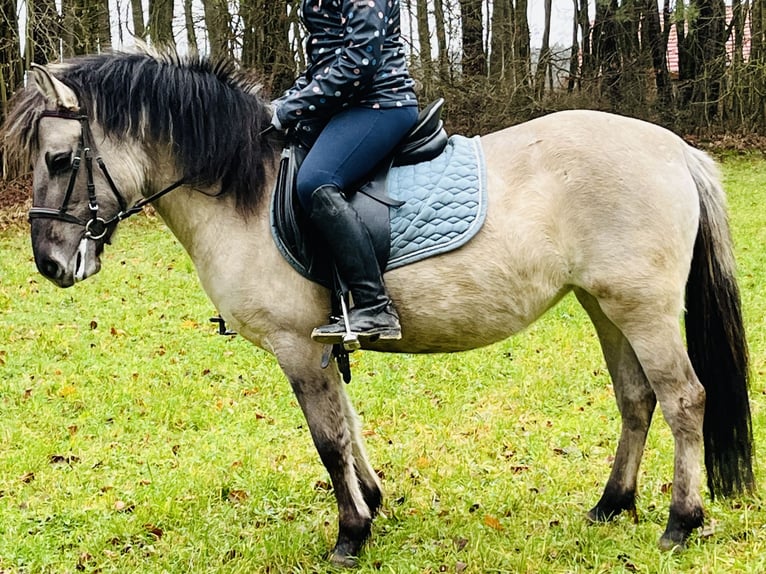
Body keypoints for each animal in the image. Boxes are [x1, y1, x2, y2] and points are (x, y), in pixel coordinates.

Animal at [0, 51, 756, 568]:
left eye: (61, 160)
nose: (50, 264)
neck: (247, 192)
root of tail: (674, 148)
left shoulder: (297, 347)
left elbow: (328, 439)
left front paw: (350, 534)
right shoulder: (320, 341)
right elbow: (350, 425)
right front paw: (374, 502)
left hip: (644, 308)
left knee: (684, 399)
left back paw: (681, 521)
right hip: (605, 304)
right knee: (636, 398)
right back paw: (611, 504)